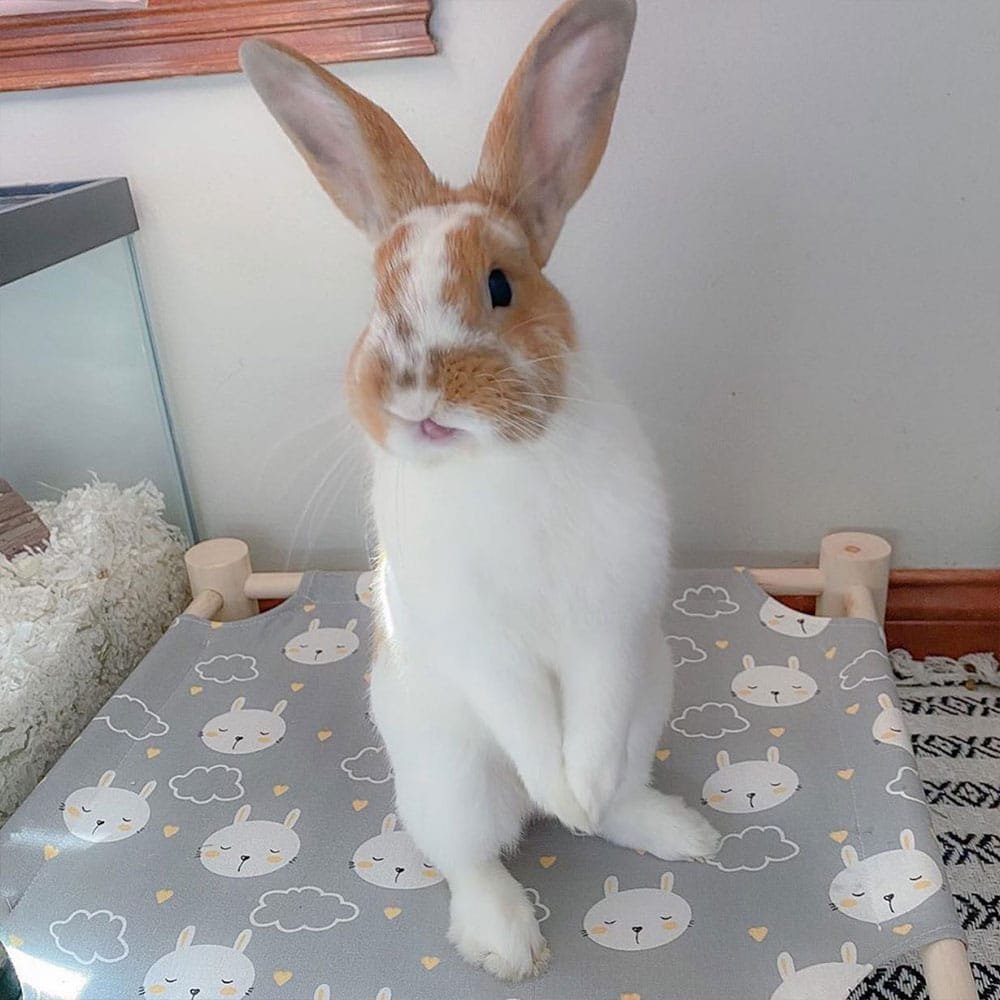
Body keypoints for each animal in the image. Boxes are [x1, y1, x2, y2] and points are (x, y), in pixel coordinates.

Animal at [241, 0, 719, 981]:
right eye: (376, 302)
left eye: (502, 284)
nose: (417, 396)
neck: (493, 460)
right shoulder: (478, 639)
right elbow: (523, 713)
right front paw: (560, 793)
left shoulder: (611, 618)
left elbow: (588, 718)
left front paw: (579, 794)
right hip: (447, 779)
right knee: (471, 856)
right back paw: (509, 938)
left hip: (650, 701)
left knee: (612, 794)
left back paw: (661, 827)